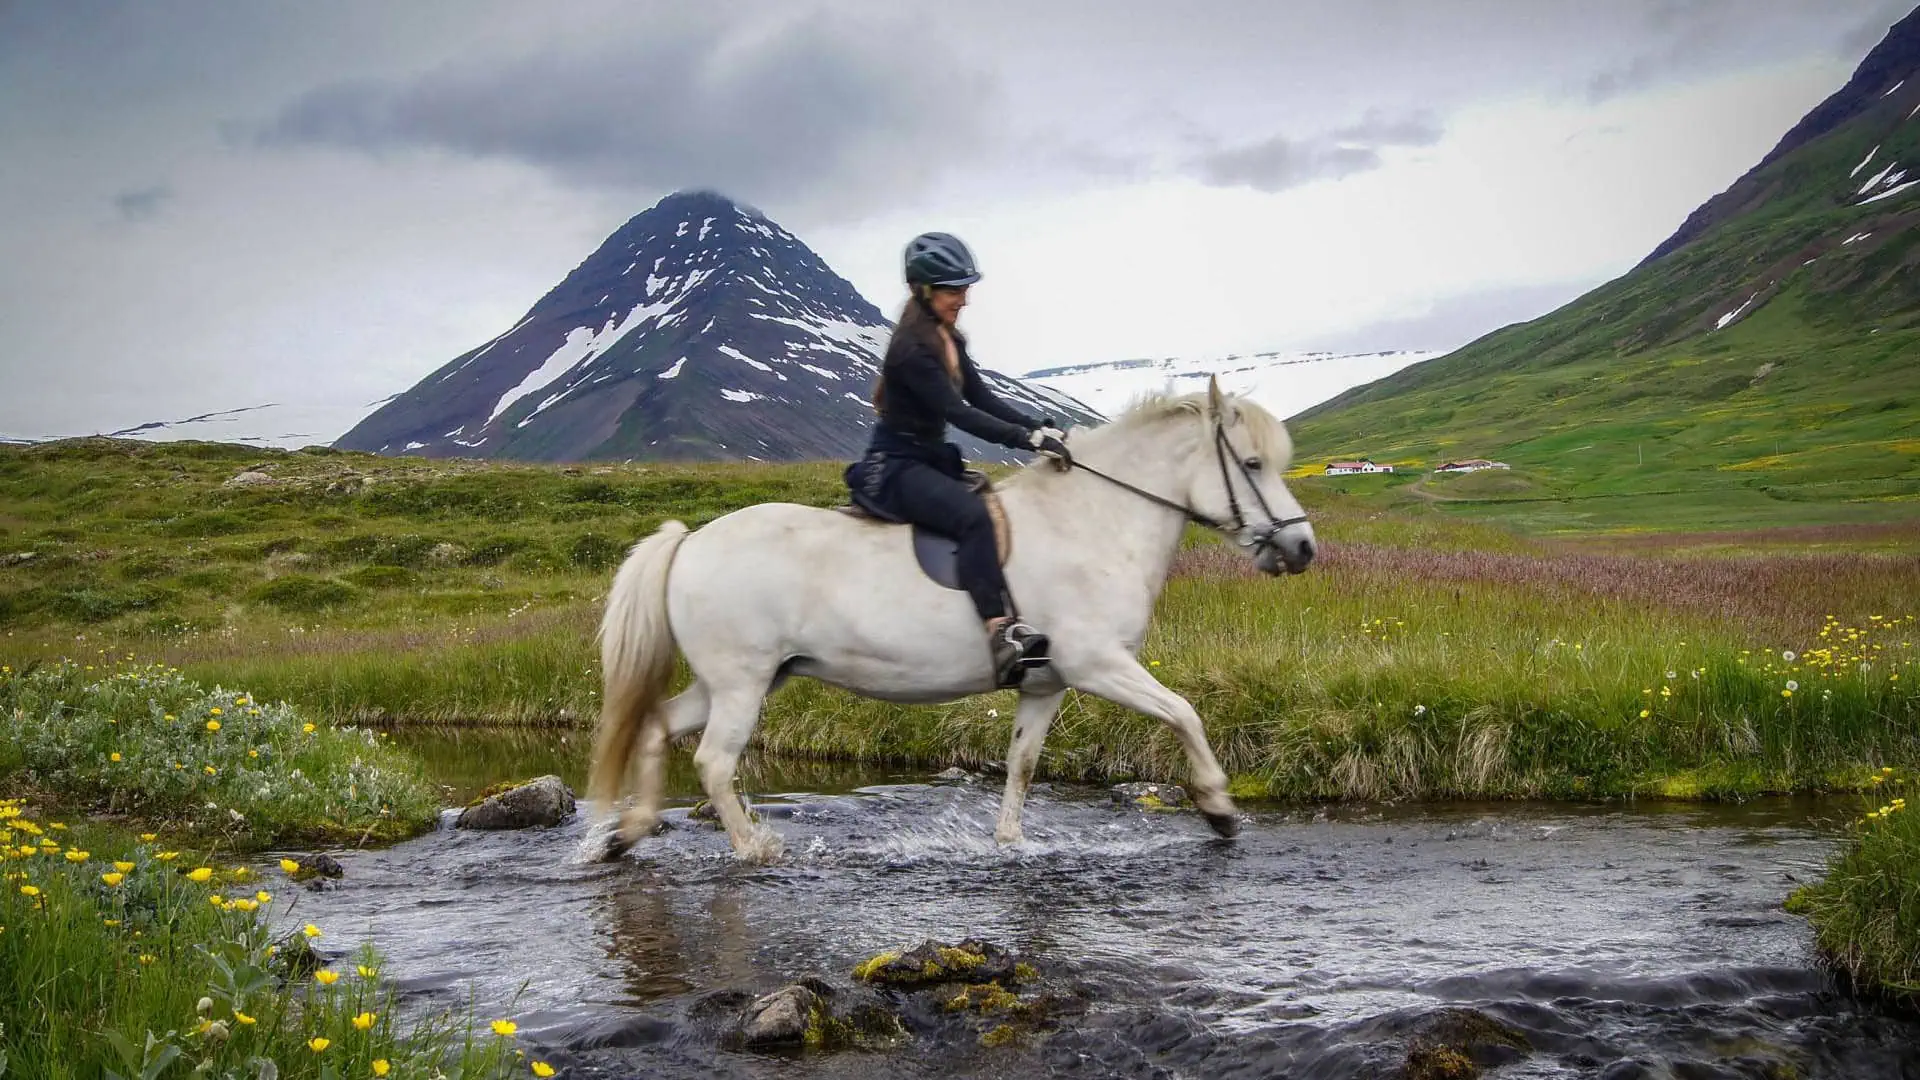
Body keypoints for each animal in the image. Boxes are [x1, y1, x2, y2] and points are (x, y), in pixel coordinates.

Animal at [591, 378, 1313, 857]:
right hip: (741, 683)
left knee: (656, 727)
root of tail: (689, 541)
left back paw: (629, 832)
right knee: (714, 762)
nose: (1303, 548)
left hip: (736, 681)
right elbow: (1184, 713)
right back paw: (755, 850)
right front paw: (1218, 808)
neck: (1094, 521)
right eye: (1252, 464)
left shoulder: (1046, 684)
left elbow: (1022, 765)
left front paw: (1009, 843)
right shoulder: (1098, 664)